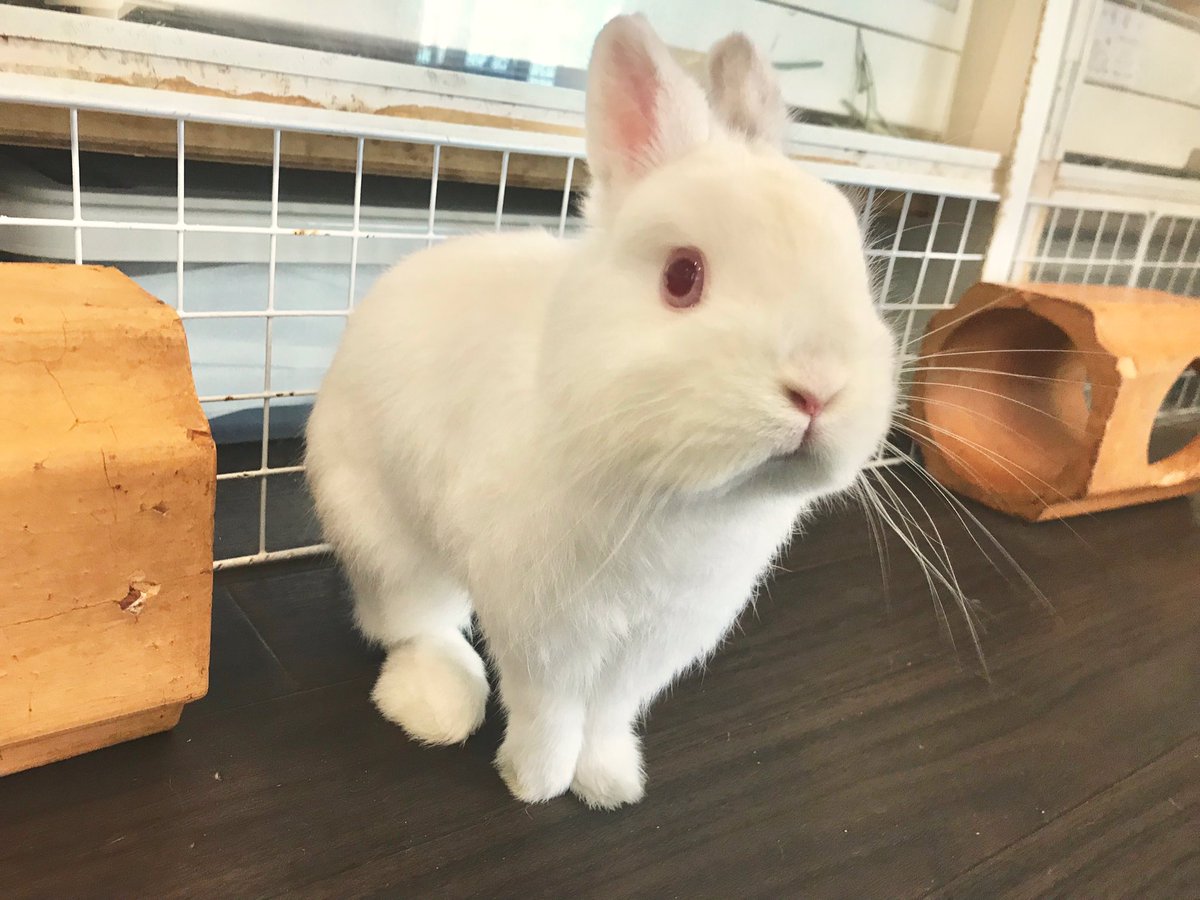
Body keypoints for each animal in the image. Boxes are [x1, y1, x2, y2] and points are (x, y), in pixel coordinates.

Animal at [304, 14, 897, 809]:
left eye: (861, 275)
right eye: (682, 277)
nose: (819, 389)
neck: (677, 495)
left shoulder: (657, 640)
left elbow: (612, 709)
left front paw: (610, 783)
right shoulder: (543, 625)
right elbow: (548, 708)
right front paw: (535, 783)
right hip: (382, 535)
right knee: (412, 622)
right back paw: (436, 706)